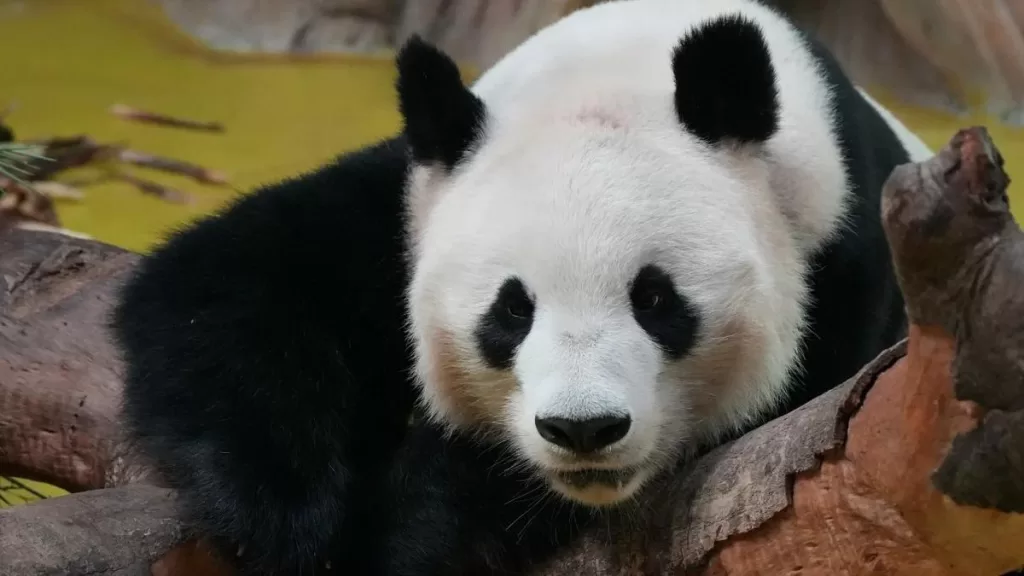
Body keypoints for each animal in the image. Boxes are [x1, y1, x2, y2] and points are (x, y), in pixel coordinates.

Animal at [111, 0, 933, 574]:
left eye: (655, 299)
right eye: (510, 310)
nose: (584, 430)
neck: (623, 66)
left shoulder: (839, 253)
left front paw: (425, 521)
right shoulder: (410, 200)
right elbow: (224, 291)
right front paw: (283, 512)